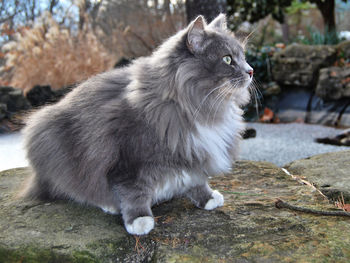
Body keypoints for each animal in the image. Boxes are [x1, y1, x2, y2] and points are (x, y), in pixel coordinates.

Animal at [22, 13, 254, 237]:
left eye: (243, 57)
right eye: (227, 59)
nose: (251, 71)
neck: (190, 106)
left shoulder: (191, 154)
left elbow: (197, 180)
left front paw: (208, 198)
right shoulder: (128, 162)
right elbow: (133, 193)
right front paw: (139, 220)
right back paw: (109, 205)